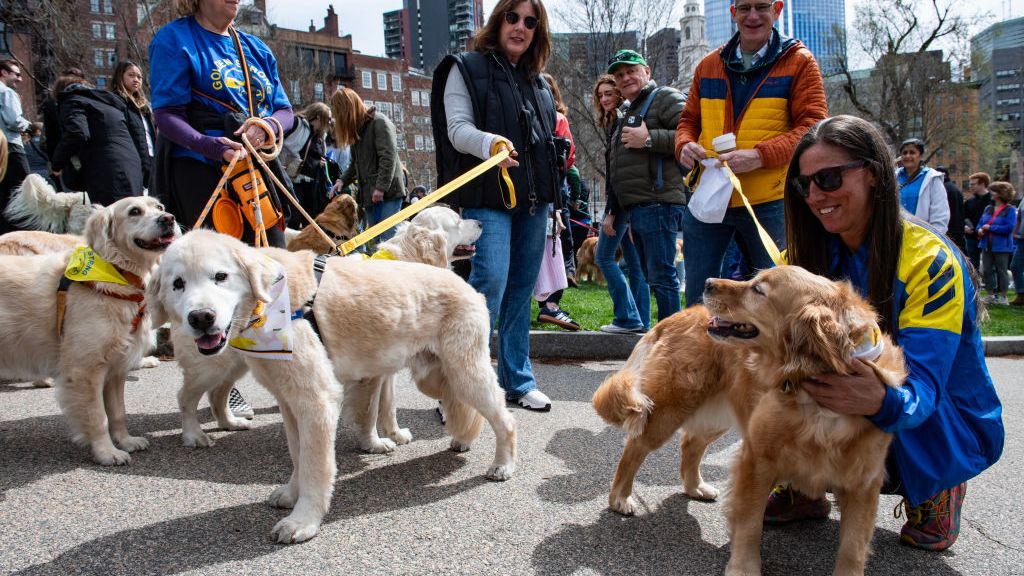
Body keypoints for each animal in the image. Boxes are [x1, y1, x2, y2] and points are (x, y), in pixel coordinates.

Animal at [0, 194, 178, 463]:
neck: (118, 274)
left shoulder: (115, 368)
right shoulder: (85, 369)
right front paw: (106, 452)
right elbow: (98, 417)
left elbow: (118, 412)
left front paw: (126, 441)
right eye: (134, 211)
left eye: (159, 207)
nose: (168, 219)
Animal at [593, 264, 905, 573]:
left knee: (690, 443)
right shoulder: (757, 459)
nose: (707, 282)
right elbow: (749, 525)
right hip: (670, 408)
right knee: (636, 446)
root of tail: (677, 315)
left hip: (717, 417)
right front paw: (744, 567)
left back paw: (695, 486)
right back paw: (620, 497)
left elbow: (853, 548)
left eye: (758, 289)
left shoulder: (863, 482)